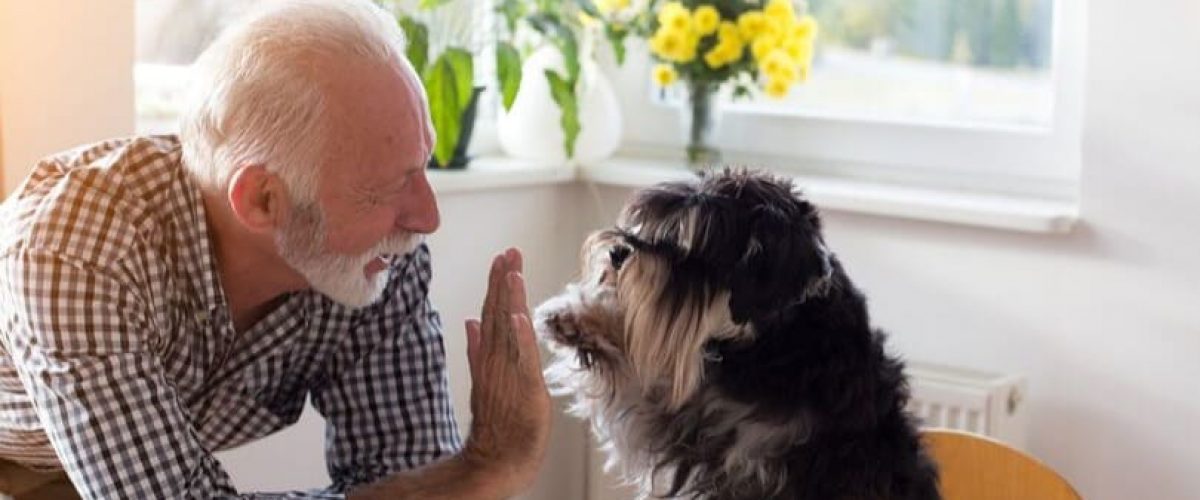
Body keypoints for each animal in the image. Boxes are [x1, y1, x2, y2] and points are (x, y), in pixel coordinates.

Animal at [540, 169, 940, 498]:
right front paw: (575, 317)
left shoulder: (734, 454)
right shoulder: (690, 420)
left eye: (697, 247)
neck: (774, 343)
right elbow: (638, 380)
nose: (617, 252)